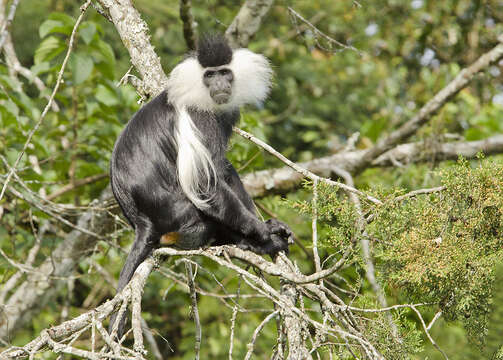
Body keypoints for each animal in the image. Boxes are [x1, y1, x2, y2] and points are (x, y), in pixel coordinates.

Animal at [108, 35, 294, 334]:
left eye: (224, 73)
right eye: (210, 75)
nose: (219, 85)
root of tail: (141, 222)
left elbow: (222, 171)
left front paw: (269, 226)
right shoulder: (200, 117)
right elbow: (206, 183)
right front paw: (263, 233)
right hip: (180, 215)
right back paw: (253, 243)